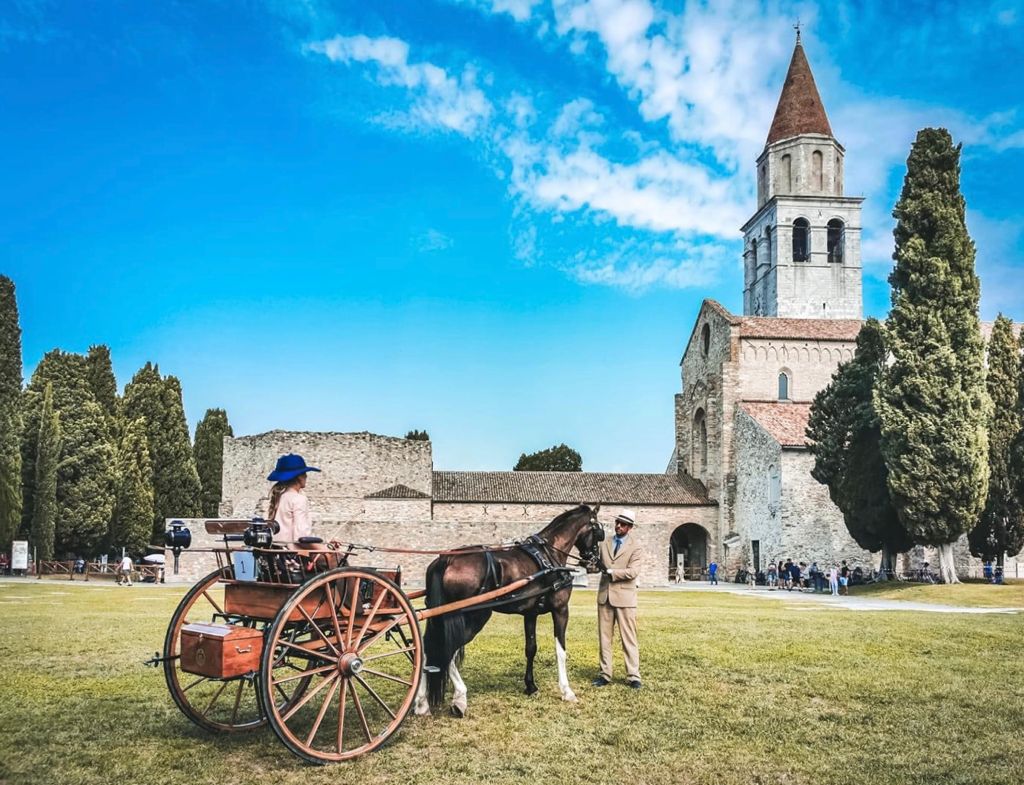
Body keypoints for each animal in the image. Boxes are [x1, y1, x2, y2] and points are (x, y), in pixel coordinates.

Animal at [411, 503, 602, 720]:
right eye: (599, 532)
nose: (595, 562)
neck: (549, 555)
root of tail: (447, 559)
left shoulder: (530, 614)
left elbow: (531, 648)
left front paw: (530, 686)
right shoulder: (561, 609)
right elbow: (560, 650)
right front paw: (567, 691)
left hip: (440, 615)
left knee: (427, 647)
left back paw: (422, 703)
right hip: (472, 616)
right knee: (446, 648)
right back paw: (459, 698)